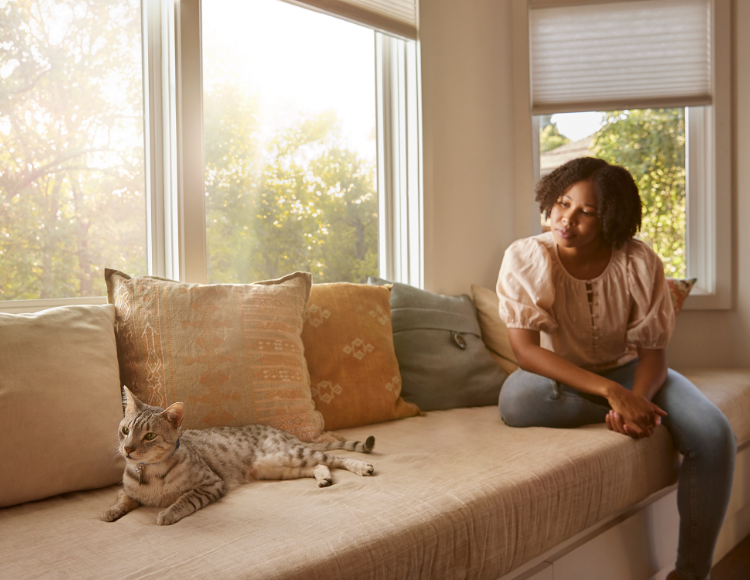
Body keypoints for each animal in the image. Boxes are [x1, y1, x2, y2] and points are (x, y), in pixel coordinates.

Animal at [101, 390, 376, 524]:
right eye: (125, 431)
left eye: (149, 436)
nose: (127, 449)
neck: (148, 472)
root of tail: (285, 433)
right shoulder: (129, 490)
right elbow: (123, 498)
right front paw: (111, 511)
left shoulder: (212, 484)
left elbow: (185, 500)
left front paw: (168, 513)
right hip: (277, 467)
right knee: (318, 465)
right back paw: (323, 478)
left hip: (291, 454)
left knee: (334, 458)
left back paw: (361, 466)